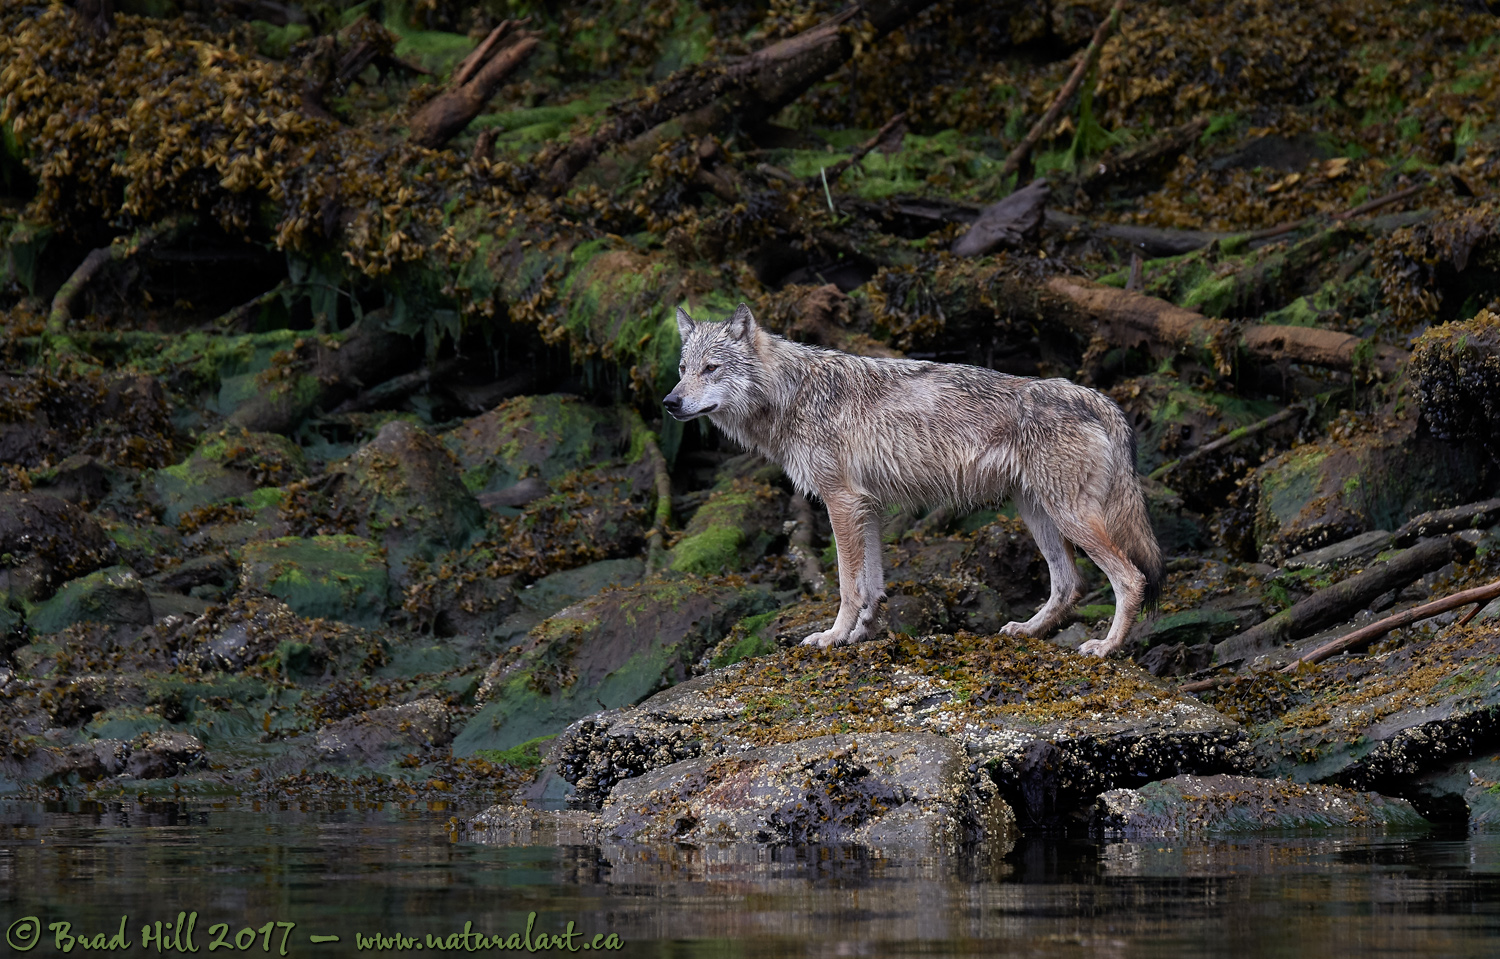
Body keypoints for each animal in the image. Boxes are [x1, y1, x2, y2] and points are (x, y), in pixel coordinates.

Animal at [662, 302, 1162, 657]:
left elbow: (847, 585)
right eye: (683, 369)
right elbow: (873, 586)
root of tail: (1097, 398)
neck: (791, 393)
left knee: (1130, 579)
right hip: (1039, 516)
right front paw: (862, 634)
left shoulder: (841, 501)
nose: (669, 403)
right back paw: (1025, 631)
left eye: (711, 368)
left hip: (1069, 516)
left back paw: (1106, 647)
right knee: (1069, 585)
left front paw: (832, 636)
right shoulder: (867, 506)